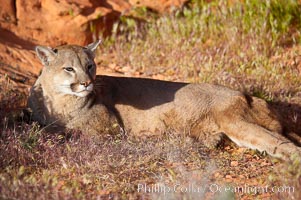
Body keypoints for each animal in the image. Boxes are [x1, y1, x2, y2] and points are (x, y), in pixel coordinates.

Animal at [27, 40, 298, 159]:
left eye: (90, 66)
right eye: (69, 69)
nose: (86, 83)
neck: (60, 101)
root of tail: (247, 95)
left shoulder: (108, 129)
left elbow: (71, 133)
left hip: (235, 121)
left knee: (281, 143)